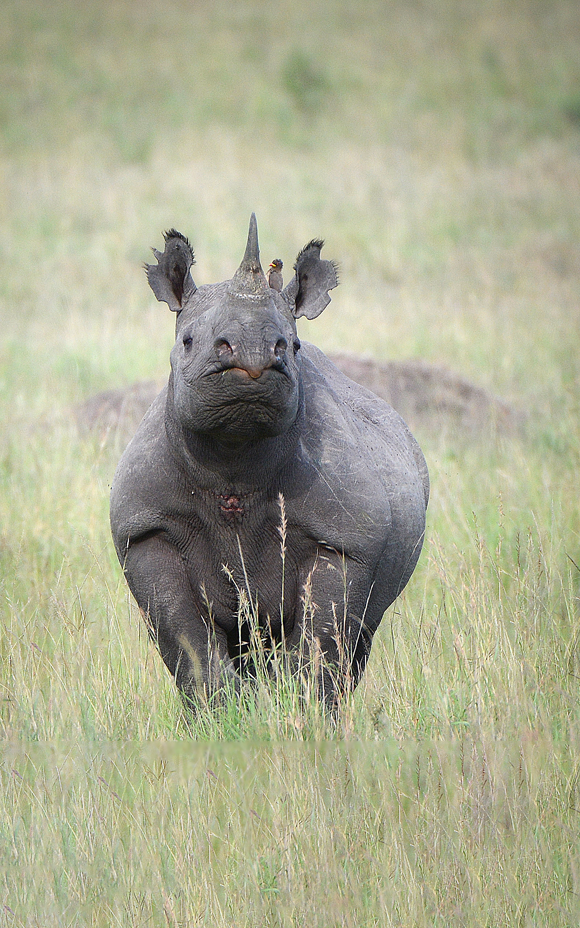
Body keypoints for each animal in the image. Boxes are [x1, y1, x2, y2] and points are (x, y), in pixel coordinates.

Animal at [110, 215, 429, 710]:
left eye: (293, 346)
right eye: (187, 341)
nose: (255, 354)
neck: (235, 452)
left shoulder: (345, 540)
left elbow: (320, 643)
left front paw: (302, 714)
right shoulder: (146, 530)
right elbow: (187, 644)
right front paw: (220, 716)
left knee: (355, 639)